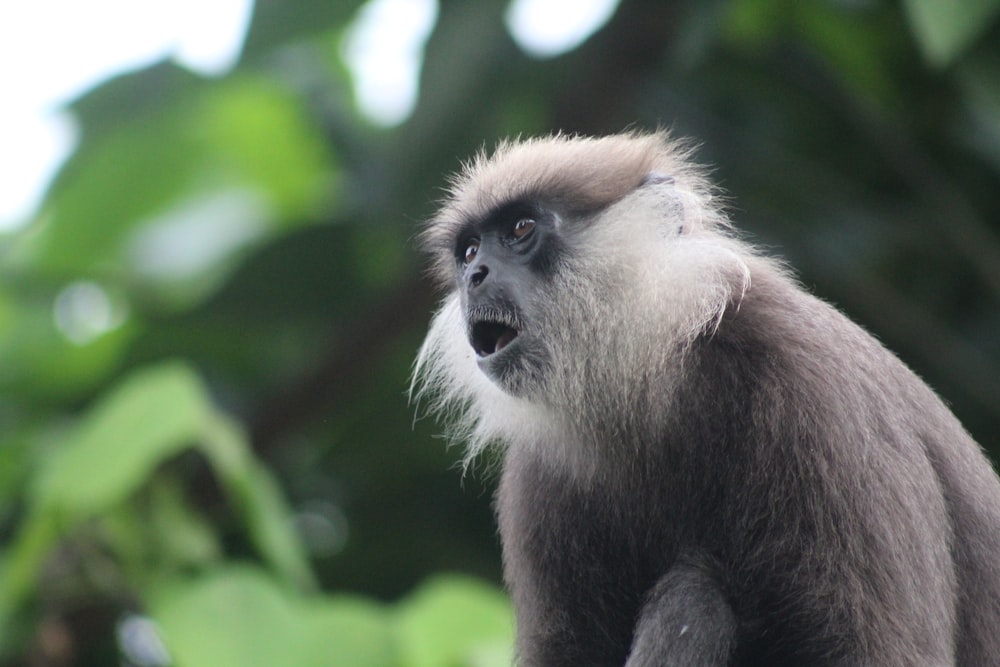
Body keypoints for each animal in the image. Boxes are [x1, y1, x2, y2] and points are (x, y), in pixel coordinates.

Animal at [410, 132, 1000, 667]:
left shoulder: (821, 403)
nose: (475, 276)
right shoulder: (541, 474)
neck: (657, 383)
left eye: (521, 229)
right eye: (469, 251)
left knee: (694, 597)